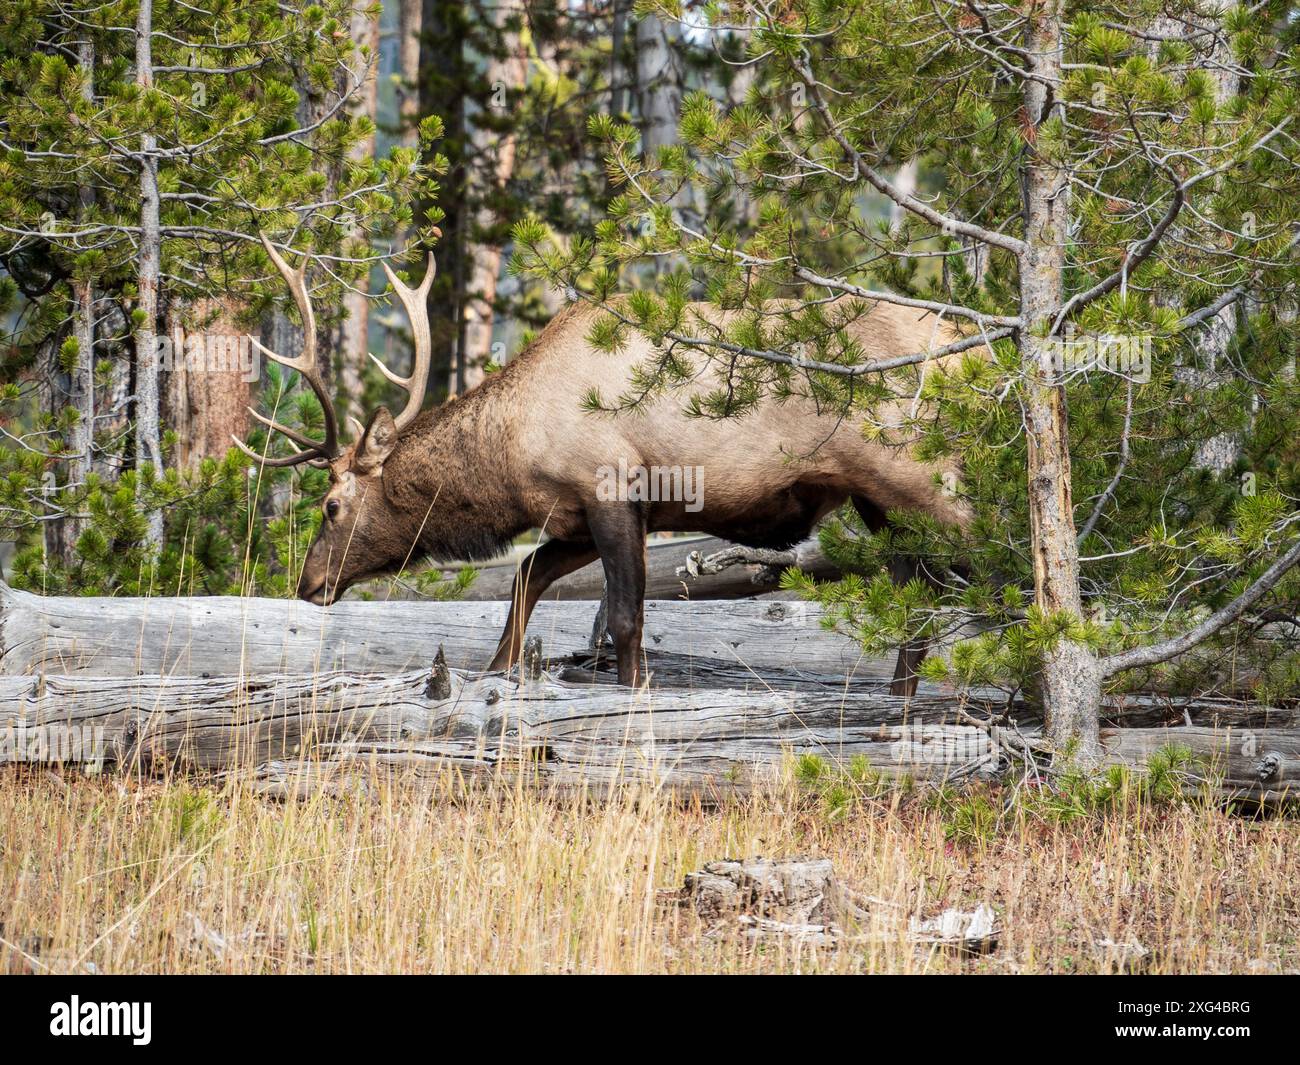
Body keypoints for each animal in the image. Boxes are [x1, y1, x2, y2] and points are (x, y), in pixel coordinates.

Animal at [236, 236, 967, 696]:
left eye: (331, 505)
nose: (309, 582)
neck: (514, 452)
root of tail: (972, 349)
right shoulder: (574, 516)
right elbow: (524, 580)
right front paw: (499, 672)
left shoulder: (614, 489)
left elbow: (624, 621)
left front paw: (630, 698)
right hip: (879, 502)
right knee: (917, 597)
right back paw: (898, 703)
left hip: (926, 480)